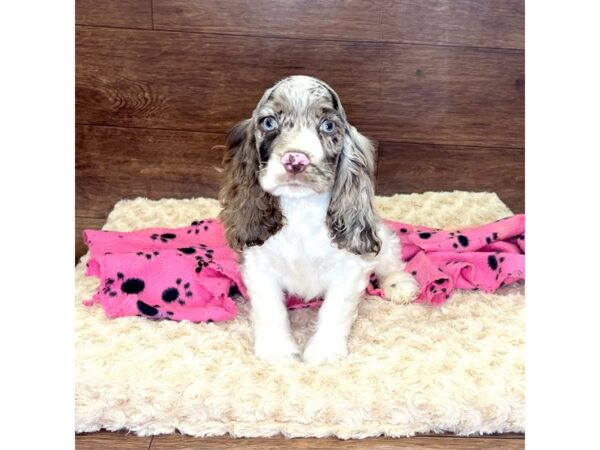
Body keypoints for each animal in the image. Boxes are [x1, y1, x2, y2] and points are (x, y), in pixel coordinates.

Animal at [218, 75, 420, 366]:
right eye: (268, 122)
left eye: (328, 125)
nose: (295, 160)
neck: (300, 208)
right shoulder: (259, 266)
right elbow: (271, 310)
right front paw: (277, 350)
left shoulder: (349, 269)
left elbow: (334, 311)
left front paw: (325, 351)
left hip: (379, 237)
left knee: (389, 258)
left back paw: (399, 284)